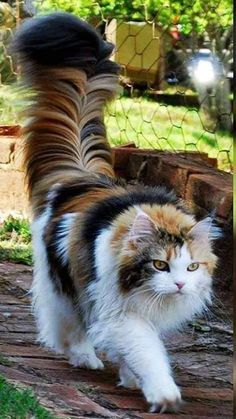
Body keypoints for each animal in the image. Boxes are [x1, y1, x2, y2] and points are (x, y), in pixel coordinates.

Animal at [12, 12, 219, 414]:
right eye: (159, 265)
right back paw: (82, 355)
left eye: (191, 267)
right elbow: (147, 351)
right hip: (65, 279)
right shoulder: (120, 312)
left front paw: (130, 376)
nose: (179, 285)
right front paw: (162, 393)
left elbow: (137, 351)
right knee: (66, 321)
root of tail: (84, 177)